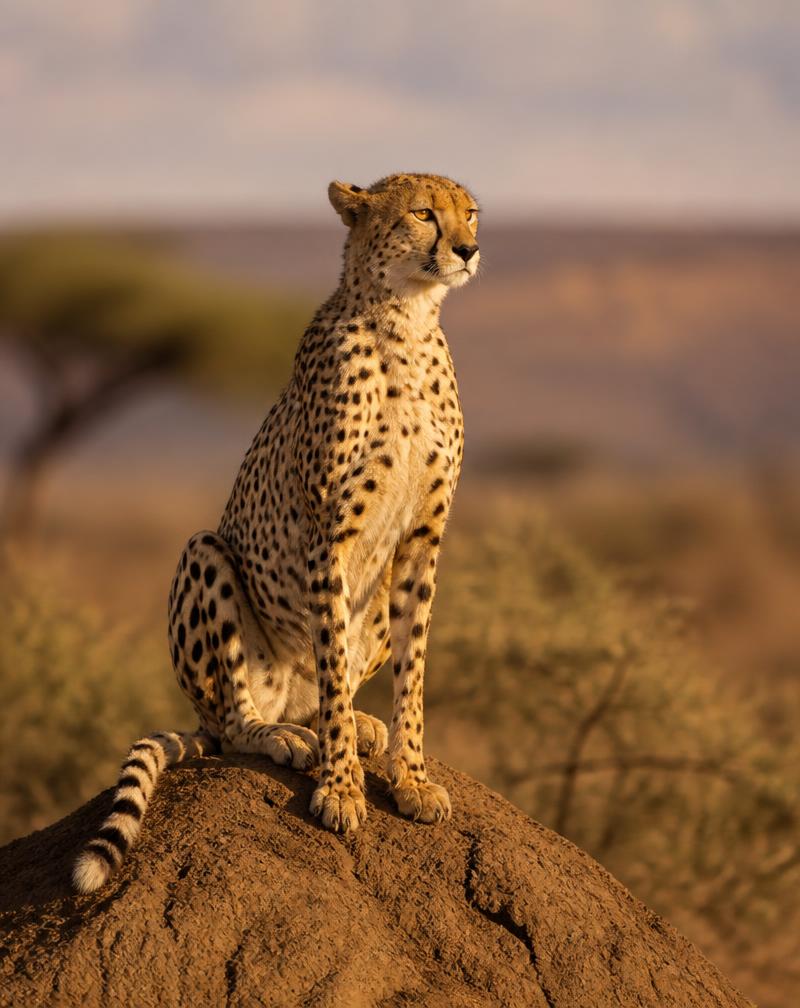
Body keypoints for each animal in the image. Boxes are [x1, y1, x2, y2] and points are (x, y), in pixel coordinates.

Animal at [73, 172, 480, 894]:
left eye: (471, 213)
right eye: (423, 214)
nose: (468, 249)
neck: (406, 321)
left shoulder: (420, 542)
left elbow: (413, 672)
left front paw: (410, 777)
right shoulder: (328, 537)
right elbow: (335, 660)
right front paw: (341, 789)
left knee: (325, 692)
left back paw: (350, 724)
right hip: (204, 558)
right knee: (240, 722)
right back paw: (282, 736)